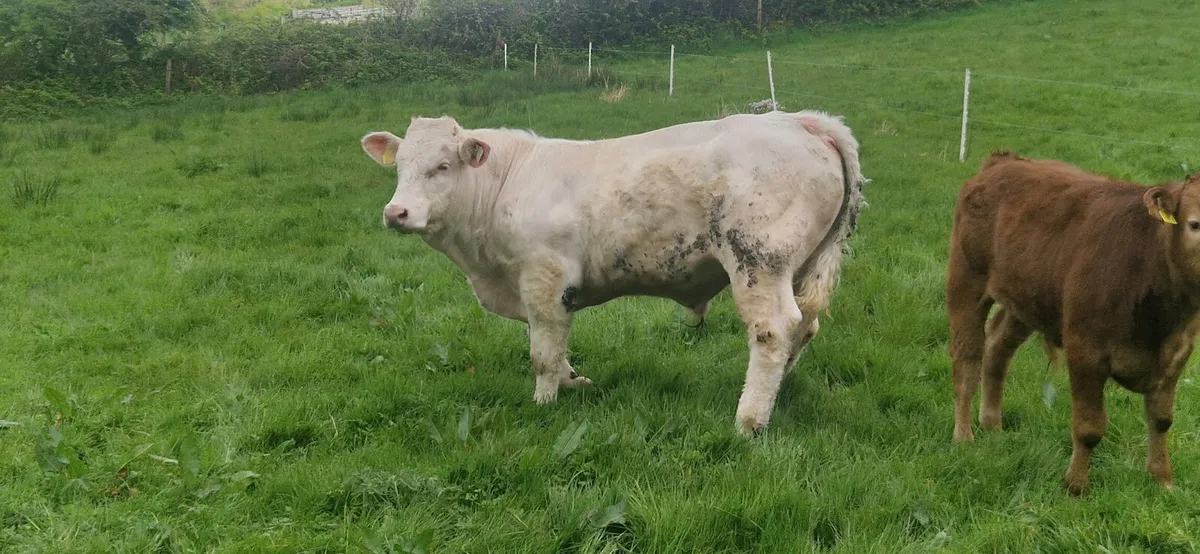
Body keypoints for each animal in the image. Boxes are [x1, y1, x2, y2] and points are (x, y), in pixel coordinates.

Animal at [360, 111, 866, 435]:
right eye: (399, 167)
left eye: (442, 165)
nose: (396, 212)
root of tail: (802, 120)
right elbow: (553, 343)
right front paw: (573, 381)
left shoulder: (544, 276)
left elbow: (542, 352)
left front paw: (544, 403)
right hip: (799, 267)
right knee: (805, 326)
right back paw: (783, 388)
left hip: (758, 262)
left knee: (773, 330)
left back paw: (750, 419)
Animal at [947, 151, 1200, 494]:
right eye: (1195, 224)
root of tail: (1004, 161)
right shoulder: (1085, 350)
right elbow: (1089, 426)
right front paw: (1075, 485)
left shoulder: (1177, 353)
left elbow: (1161, 420)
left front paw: (1163, 481)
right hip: (966, 282)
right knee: (967, 361)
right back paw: (963, 435)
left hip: (1025, 299)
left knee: (997, 349)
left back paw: (993, 425)